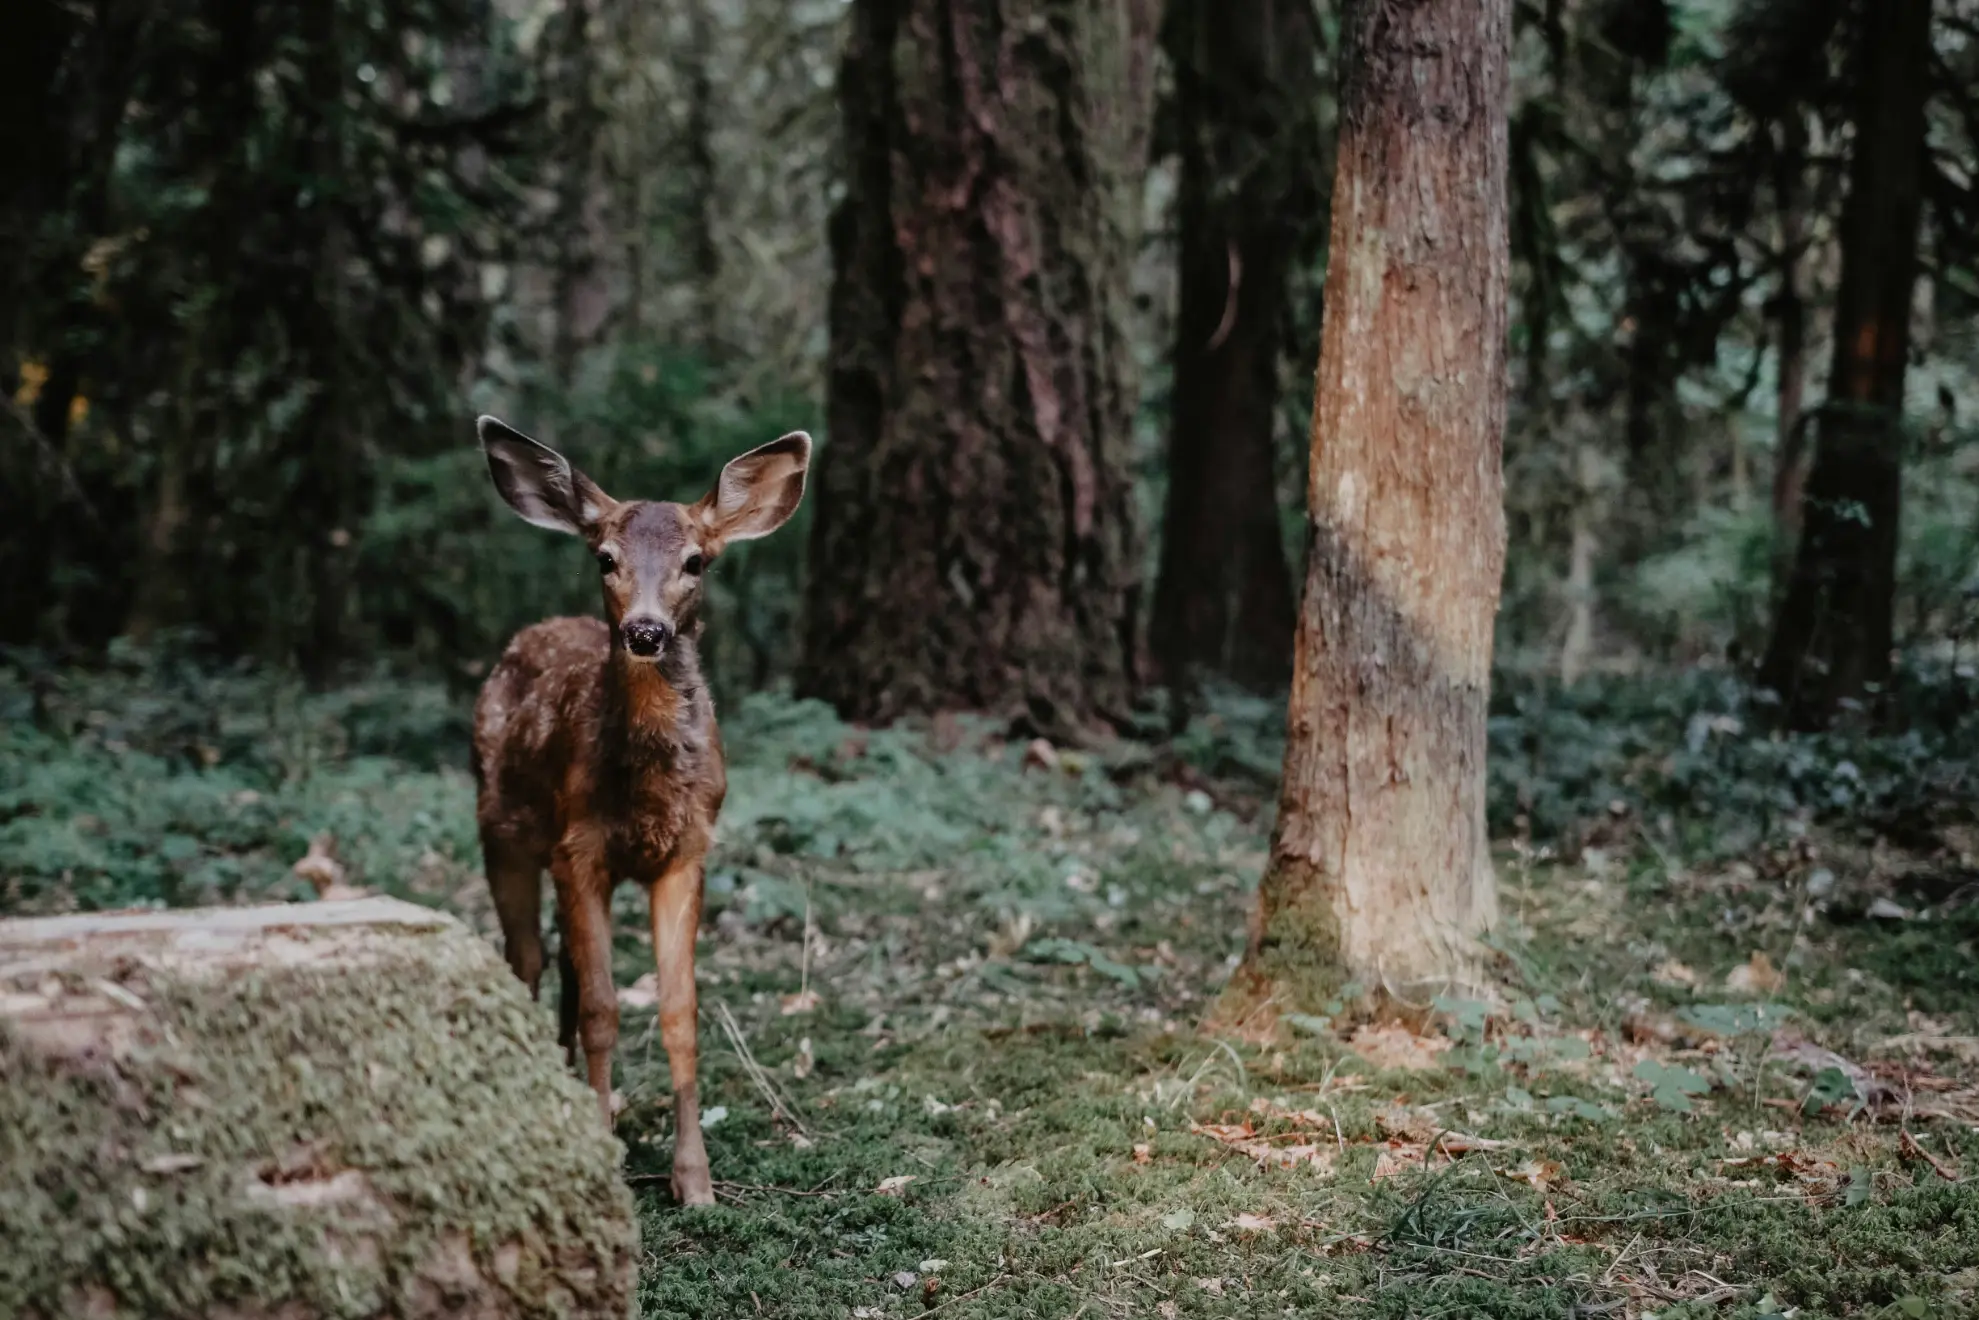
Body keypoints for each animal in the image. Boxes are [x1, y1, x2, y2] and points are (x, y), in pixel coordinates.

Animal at [470, 414, 810, 1207]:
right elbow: (602, 1008)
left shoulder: (689, 851)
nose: (647, 631)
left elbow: (679, 1011)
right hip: (501, 832)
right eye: (605, 557)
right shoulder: (579, 848)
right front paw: (603, 1153)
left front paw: (695, 1179)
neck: (648, 792)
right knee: (527, 961)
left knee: (559, 967)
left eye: (696, 561)